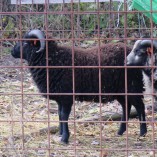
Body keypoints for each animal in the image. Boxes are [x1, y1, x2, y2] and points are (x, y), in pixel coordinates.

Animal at [11, 29, 147, 144]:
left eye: (25, 43)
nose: (12, 52)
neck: (52, 60)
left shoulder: (67, 97)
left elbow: (64, 115)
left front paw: (65, 138)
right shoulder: (60, 97)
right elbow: (59, 115)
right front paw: (61, 133)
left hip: (133, 86)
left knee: (140, 106)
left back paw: (143, 132)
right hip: (121, 90)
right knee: (126, 106)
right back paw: (120, 131)